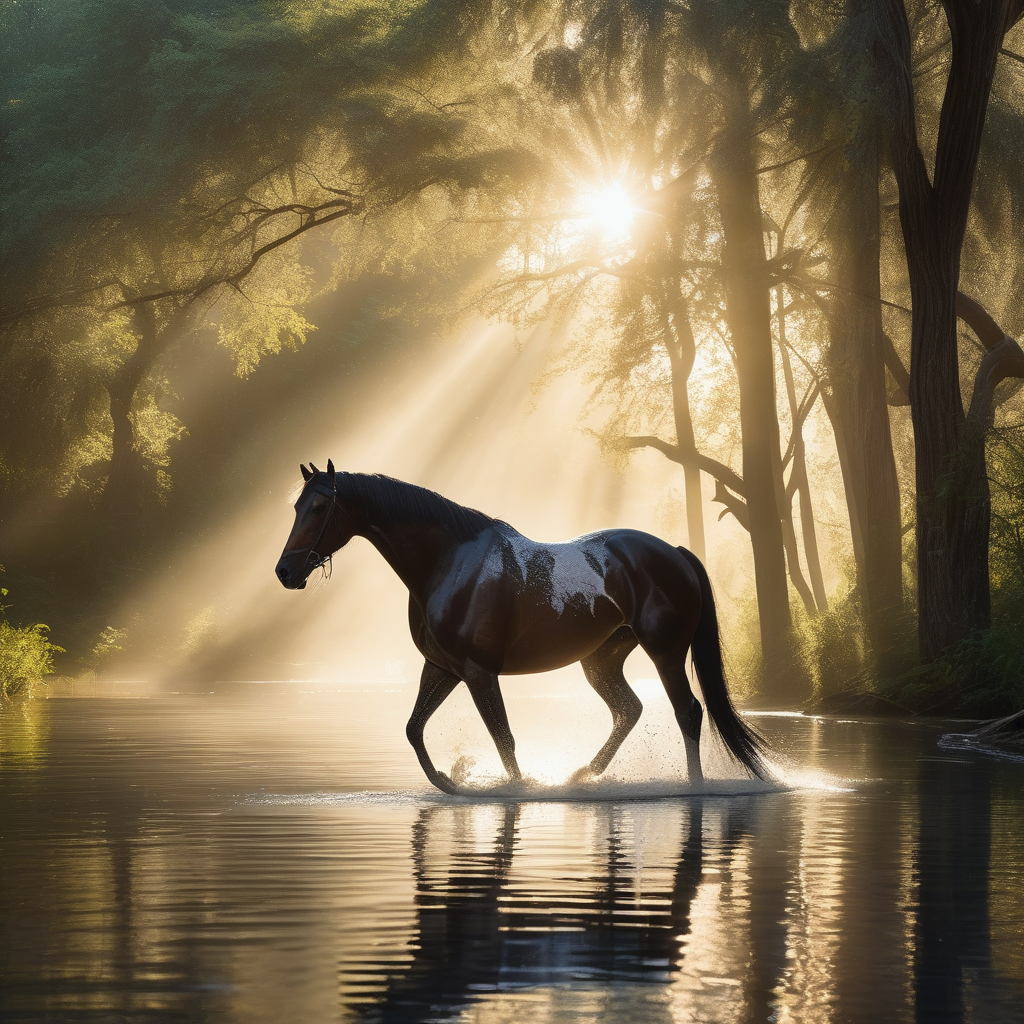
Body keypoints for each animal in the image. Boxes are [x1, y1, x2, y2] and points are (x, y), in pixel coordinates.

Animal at [274, 462, 768, 793]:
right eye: (296, 505)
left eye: (319, 507)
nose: (285, 572)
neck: (449, 562)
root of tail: (674, 552)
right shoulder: (443, 668)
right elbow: (414, 728)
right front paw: (449, 780)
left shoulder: (478, 673)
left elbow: (504, 739)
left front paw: (513, 787)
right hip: (602, 660)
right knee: (629, 709)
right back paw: (582, 774)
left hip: (664, 652)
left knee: (688, 712)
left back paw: (694, 787)